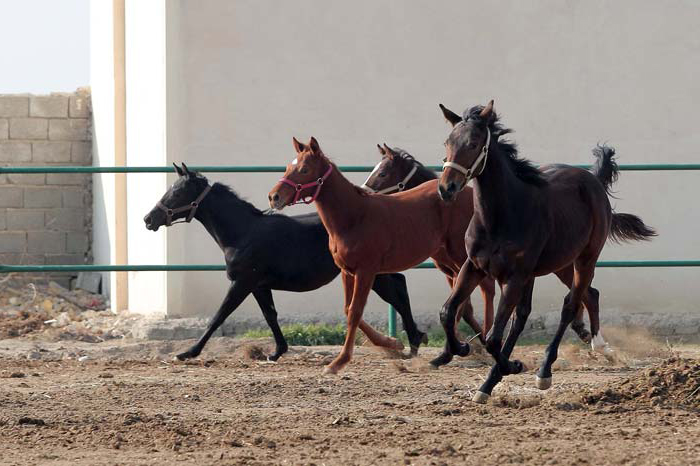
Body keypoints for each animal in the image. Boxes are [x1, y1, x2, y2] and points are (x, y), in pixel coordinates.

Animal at [145, 163, 426, 360]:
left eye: (177, 192)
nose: (149, 219)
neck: (243, 232)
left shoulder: (242, 282)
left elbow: (219, 316)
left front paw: (188, 352)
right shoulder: (259, 285)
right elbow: (270, 315)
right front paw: (277, 351)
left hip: (370, 274)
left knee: (397, 294)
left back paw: (413, 340)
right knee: (399, 286)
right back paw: (412, 340)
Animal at [270, 137, 484, 374]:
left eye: (304, 169)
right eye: (288, 167)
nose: (274, 196)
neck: (354, 217)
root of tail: (466, 193)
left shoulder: (366, 271)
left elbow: (355, 311)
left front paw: (339, 362)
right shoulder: (347, 271)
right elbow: (348, 309)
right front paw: (393, 343)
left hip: (461, 255)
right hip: (449, 259)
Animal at [438, 100, 656, 402]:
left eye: (473, 143)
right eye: (447, 141)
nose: (446, 188)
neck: (499, 217)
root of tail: (593, 179)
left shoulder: (515, 276)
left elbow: (495, 336)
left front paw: (513, 365)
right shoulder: (474, 266)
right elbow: (448, 312)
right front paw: (462, 349)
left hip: (584, 259)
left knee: (570, 304)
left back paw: (545, 370)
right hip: (558, 264)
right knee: (577, 298)